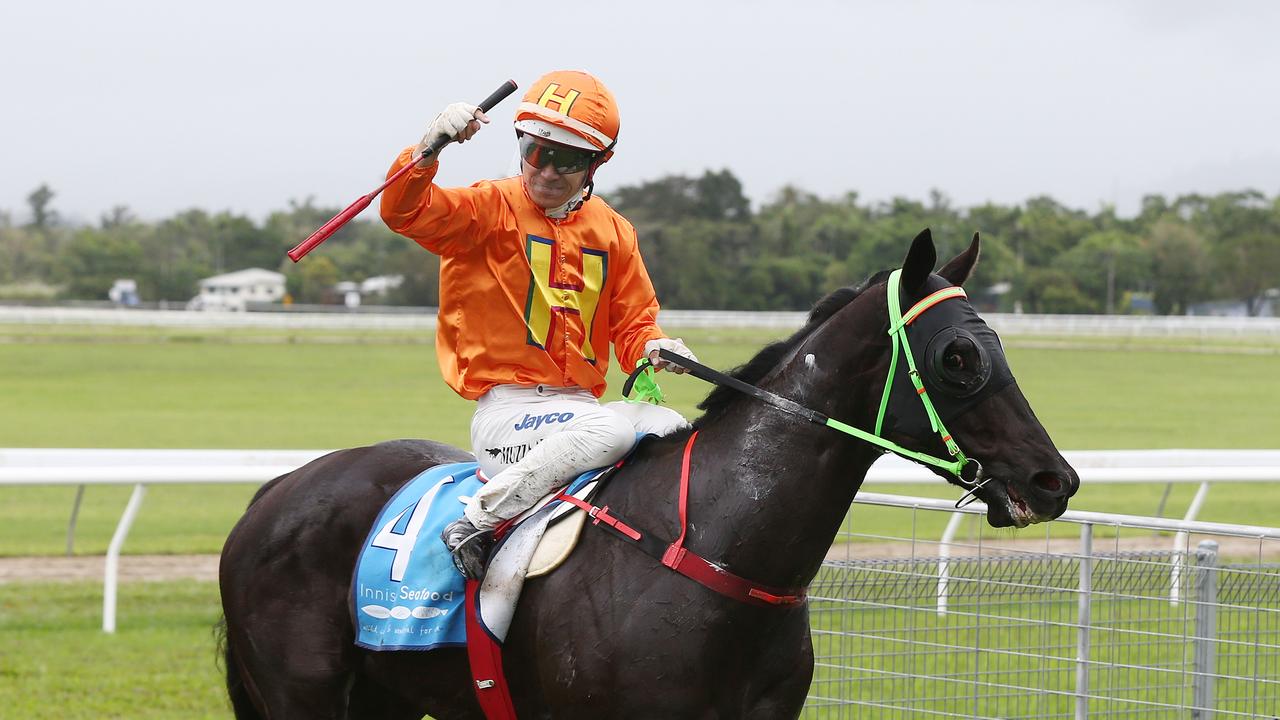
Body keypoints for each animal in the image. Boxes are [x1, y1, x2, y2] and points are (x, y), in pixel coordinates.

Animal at [220, 230, 1080, 717]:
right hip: (302, 697)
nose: (1054, 480)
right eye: (958, 356)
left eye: (995, 343)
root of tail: (273, 493)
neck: (717, 554)